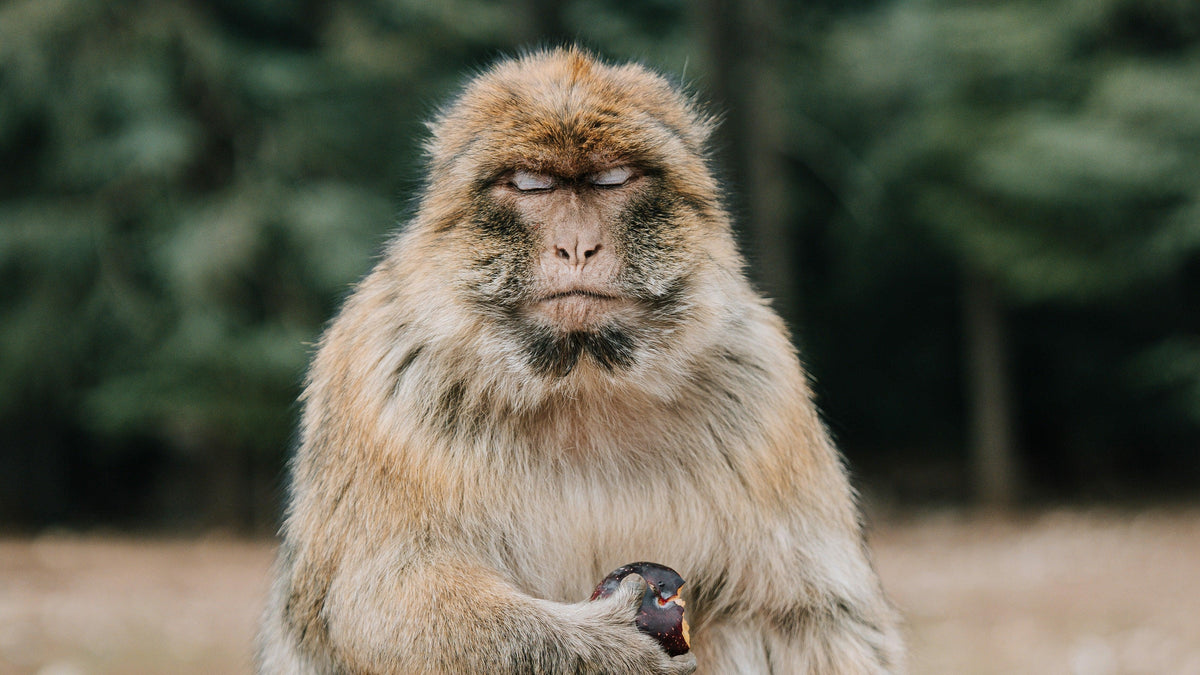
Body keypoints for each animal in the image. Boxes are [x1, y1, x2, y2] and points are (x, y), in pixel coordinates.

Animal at [257, 46, 904, 674]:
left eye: (612, 179)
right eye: (531, 184)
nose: (575, 246)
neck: (582, 377)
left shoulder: (764, 385)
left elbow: (814, 619)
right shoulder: (382, 380)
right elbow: (379, 600)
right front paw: (605, 646)